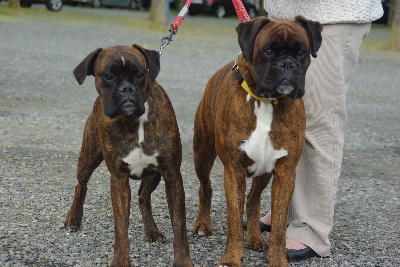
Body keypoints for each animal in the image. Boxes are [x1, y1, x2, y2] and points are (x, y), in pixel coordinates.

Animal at [63, 44, 192, 267]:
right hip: (88, 159)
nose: (126, 89)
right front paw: (120, 260)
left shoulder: (172, 176)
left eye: (140, 74)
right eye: (108, 76)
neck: (134, 121)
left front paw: (183, 260)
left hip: (154, 175)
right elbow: (121, 227)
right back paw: (74, 217)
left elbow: (179, 227)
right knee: (81, 184)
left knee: (143, 197)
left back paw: (152, 230)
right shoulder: (118, 179)